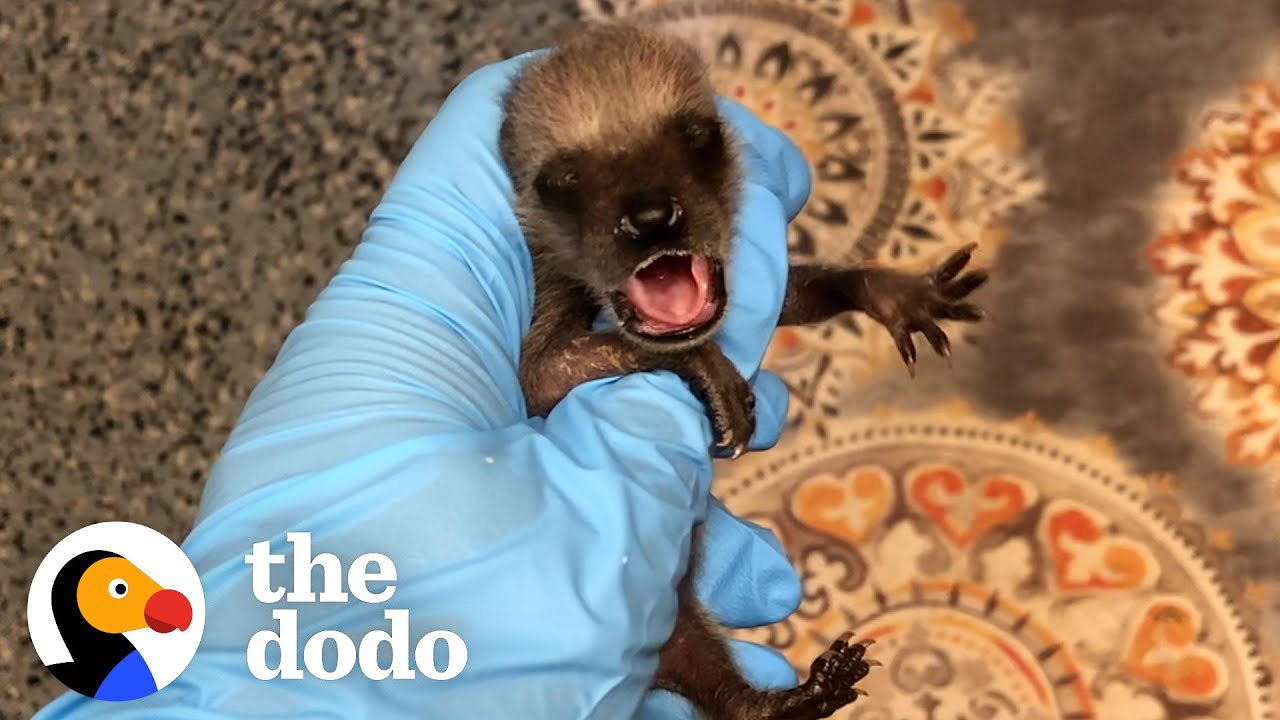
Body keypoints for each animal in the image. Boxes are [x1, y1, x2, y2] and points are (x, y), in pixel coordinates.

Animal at [498, 21, 986, 720]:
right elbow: (542, 374)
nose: (652, 218)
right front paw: (708, 370)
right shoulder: (545, 289)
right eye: (560, 181)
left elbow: (790, 294)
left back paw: (800, 696)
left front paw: (891, 292)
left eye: (698, 137)